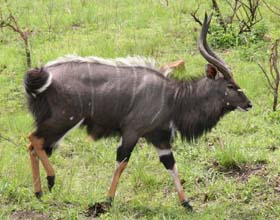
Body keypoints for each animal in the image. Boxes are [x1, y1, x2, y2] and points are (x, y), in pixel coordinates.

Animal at [24, 13, 252, 211]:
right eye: (230, 85)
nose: (249, 104)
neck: (174, 98)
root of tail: (42, 74)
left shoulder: (159, 138)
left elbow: (171, 164)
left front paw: (187, 204)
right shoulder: (132, 132)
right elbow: (122, 161)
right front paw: (107, 201)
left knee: (34, 145)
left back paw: (38, 193)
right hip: (64, 119)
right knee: (33, 139)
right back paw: (51, 180)